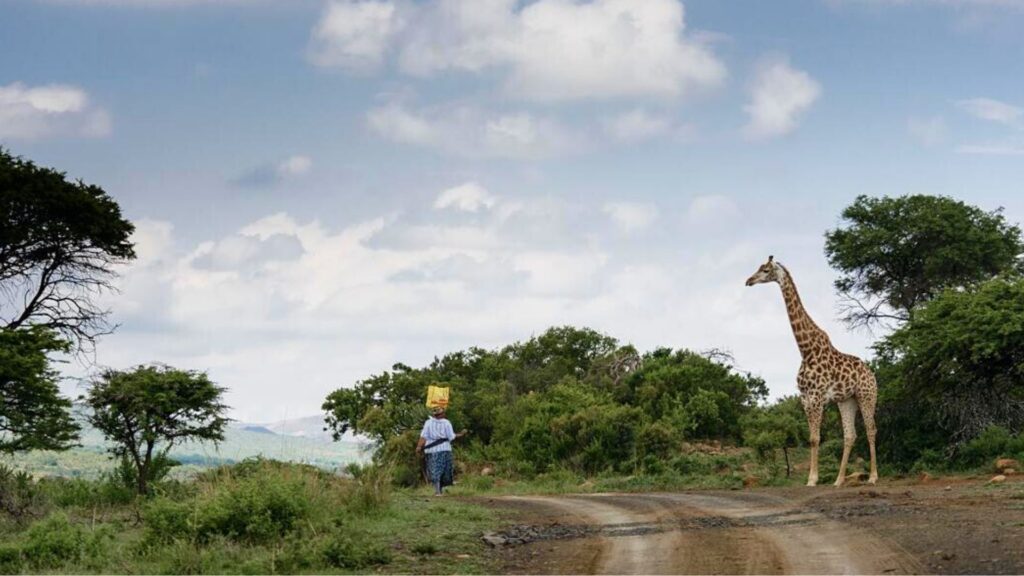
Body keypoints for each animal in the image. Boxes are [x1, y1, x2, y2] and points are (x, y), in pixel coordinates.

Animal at [745, 255, 880, 483]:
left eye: (765, 270)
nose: (749, 281)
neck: (806, 350)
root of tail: (872, 374)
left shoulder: (817, 397)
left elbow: (816, 438)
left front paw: (812, 479)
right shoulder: (805, 398)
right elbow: (811, 438)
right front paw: (812, 478)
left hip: (866, 395)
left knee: (871, 430)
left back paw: (873, 477)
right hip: (847, 400)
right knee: (850, 435)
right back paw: (838, 480)